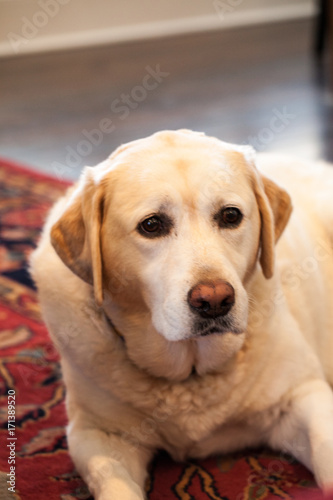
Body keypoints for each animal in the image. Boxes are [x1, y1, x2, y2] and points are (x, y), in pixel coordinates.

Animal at [29, 131, 332, 498]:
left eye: (231, 216)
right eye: (151, 225)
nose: (215, 300)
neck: (189, 377)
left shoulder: (303, 395)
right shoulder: (95, 433)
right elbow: (115, 485)